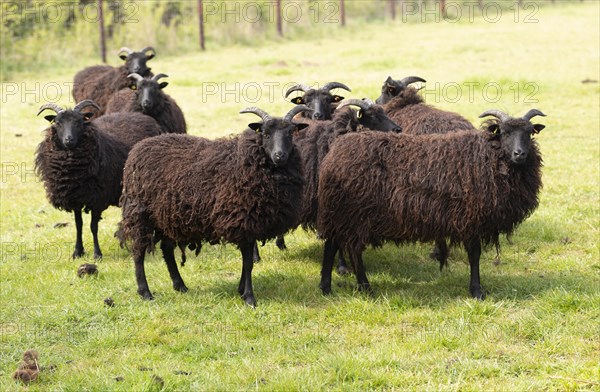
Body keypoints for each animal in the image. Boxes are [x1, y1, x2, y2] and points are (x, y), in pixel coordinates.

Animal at [34, 100, 162, 260]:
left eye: (80, 122)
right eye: (57, 123)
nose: (69, 140)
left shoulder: (97, 199)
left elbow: (93, 227)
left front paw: (97, 254)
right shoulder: (76, 198)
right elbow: (79, 225)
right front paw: (78, 252)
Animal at [119, 106, 312, 306]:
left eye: (290, 133)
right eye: (265, 134)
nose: (279, 156)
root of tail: (138, 148)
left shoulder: (250, 225)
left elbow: (247, 263)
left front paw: (241, 289)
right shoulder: (243, 221)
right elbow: (248, 263)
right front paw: (249, 297)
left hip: (168, 217)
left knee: (167, 249)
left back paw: (180, 285)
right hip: (139, 213)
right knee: (139, 252)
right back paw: (145, 292)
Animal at [316, 108, 548, 298]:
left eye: (529, 133)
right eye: (505, 132)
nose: (520, 153)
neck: (488, 156)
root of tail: (335, 150)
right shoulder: (472, 218)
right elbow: (474, 255)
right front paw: (477, 291)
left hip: (342, 212)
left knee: (332, 245)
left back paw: (326, 288)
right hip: (353, 213)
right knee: (352, 250)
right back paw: (365, 287)